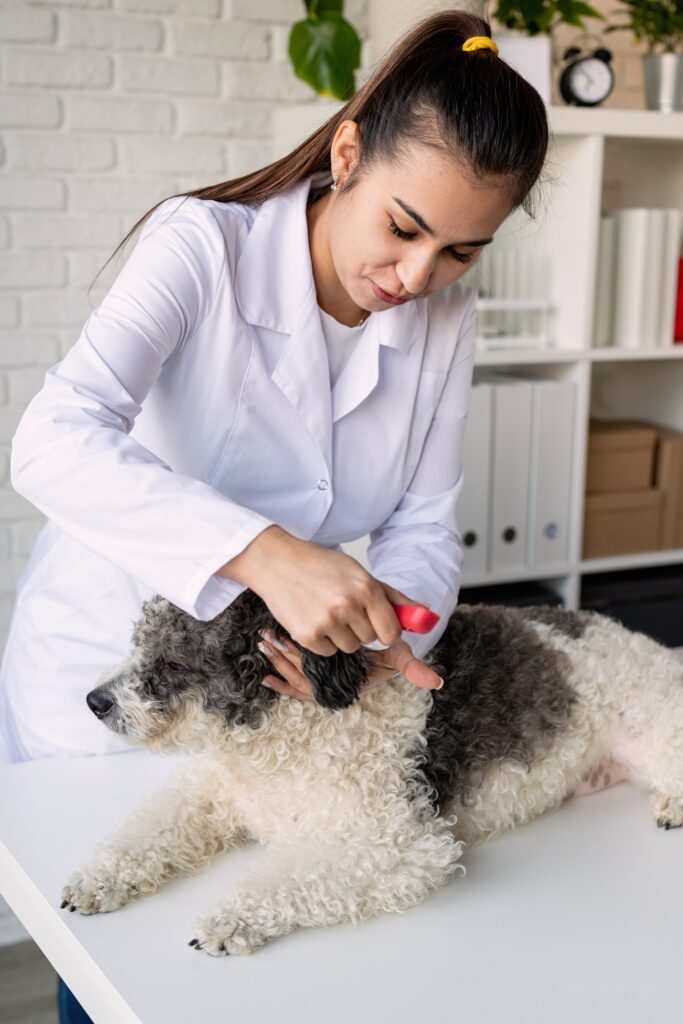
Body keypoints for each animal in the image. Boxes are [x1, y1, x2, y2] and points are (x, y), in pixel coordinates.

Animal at [61, 598, 683, 954]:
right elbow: (151, 831)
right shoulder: (214, 793)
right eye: (138, 642)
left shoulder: (402, 845)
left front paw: (233, 917)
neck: (285, 731)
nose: (94, 701)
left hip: (657, 727)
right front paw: (100, 879)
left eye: (174, 661)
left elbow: (291, 877)